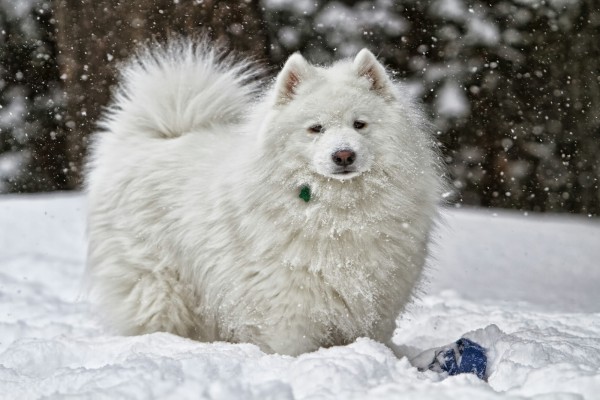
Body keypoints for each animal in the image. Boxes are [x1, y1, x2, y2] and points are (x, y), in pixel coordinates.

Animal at [86, 41, 442, 356]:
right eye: (316, 128)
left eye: (360, 124)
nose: (344, 155)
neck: (336, 213)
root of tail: (159, 136)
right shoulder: (288, 306)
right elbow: (292, 349)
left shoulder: (376, 302)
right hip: (159, 287)